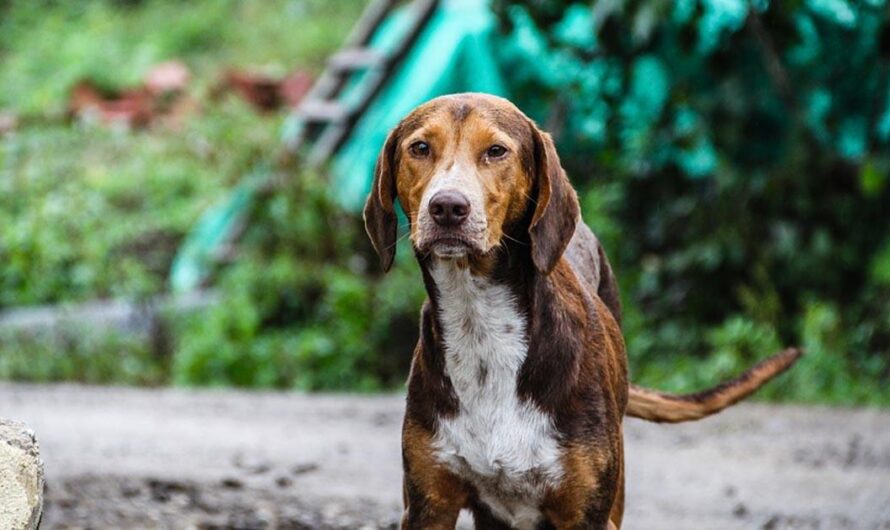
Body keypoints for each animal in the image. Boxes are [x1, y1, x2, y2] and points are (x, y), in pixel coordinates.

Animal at [360, 94, 796, 528]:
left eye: (496, 151)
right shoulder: (428, 505)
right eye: (420, 148)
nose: (448, 207)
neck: (479, 323)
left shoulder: (588, 513)